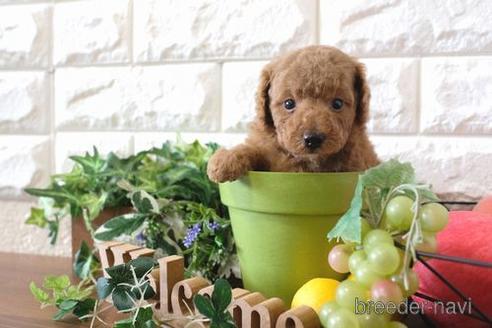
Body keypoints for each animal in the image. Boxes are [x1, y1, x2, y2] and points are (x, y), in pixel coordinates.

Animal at [206, 44, 378, 182]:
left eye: (337, 104)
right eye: (288, 103)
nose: (313, 139)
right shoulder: (265, 147)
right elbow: (252, 149)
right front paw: (225, 161)